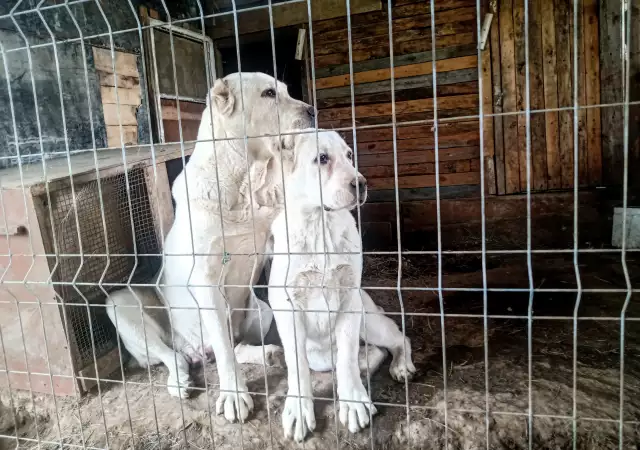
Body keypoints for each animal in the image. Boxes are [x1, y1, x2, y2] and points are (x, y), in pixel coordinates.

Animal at [268, 130, 416, 442]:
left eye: (349, 155)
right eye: (322, 158)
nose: (360, 184)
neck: (320, 224)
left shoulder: (349, 301)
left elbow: (347, 357)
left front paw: (354, 401)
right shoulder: (288, 308)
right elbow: (297, 366)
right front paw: (299, 409)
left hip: (369, 321)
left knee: (398, 339)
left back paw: (400, 365)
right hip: (321, 356)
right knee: (368, 353)